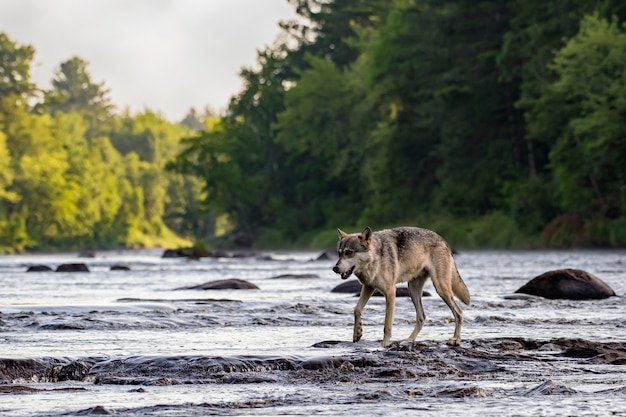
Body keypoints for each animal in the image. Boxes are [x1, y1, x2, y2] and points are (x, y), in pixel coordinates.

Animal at [332, 226, 468, 346]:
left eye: (349, 252)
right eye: (339, 254)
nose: (334, 268)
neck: (375, 259)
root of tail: (443, 240)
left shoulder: (390, 292)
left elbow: (387, 325)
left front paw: (384, 345)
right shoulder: (368, 287)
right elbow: (357, 309)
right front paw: (357, 333)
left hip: (441, 289)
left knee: (459, 313)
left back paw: (456, 339)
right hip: (413, 291)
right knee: (422, 318)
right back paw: (408, 340)